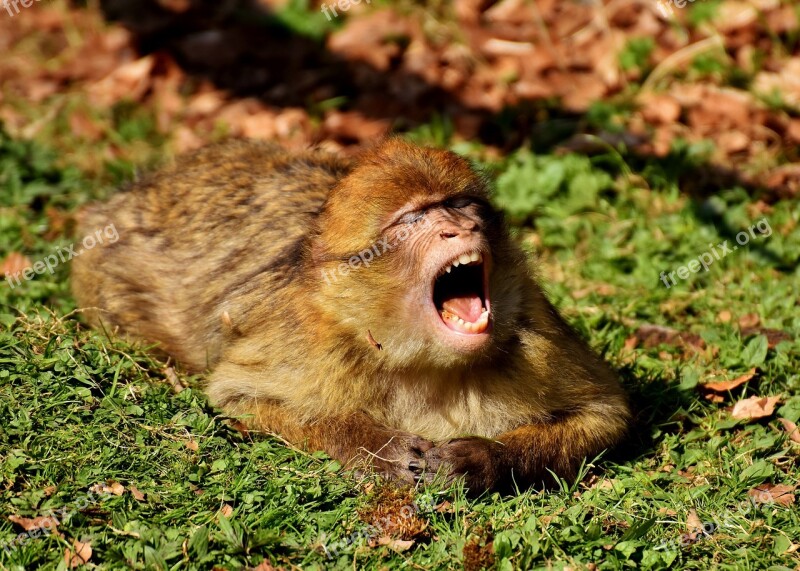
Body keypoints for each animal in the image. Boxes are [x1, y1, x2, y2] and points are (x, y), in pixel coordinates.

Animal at [72, 137, 628, 492]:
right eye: (414, 219)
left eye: (462, 205)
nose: (459, 229)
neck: (426, 363)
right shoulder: (311, 343)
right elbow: (240, 394)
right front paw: (378, 448)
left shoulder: (536, 334)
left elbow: (606, 412)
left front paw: (481, 459)